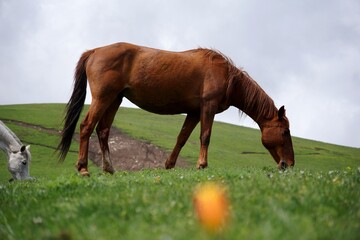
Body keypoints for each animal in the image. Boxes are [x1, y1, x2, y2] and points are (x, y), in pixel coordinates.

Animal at [56, 42, 294, 175]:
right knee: (87, 126)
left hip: (114, 100)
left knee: (103, 131)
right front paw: (202, 165)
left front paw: (169, 165)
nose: (289, 164)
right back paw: (83, 168)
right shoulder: (207, 107)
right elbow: (205, 136)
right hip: (103, 98)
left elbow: (182, 138)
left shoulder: (194, 112)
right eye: (284, 131)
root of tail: (95, 51)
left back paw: (109, 168)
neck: (227, 77)